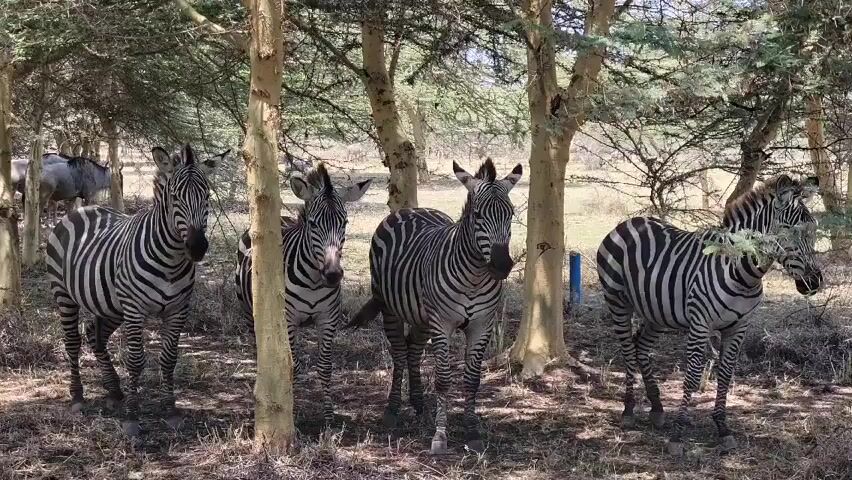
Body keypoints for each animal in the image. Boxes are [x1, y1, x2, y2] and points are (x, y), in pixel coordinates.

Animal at [45, 144, 221, 437]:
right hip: (65, 294)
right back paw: (78, 396)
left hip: (110, 304)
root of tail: (82, 209)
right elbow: (136, 360)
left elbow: (169, 358)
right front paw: (132, 417)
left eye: (206, 195)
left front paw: (170, 411)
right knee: (72, 341)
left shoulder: (178, 309)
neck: (171, 260)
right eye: (175, 197)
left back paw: (114, 390)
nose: (197, 247)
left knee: (95, 335)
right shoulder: (135, 309)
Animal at [234, 163, 371, 423]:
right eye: (313, 223)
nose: (333, 275)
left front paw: (328, 417)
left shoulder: (328, 319)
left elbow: (325, 366)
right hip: (249, 312)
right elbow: (292, 366)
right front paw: (291, 411)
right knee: (258, 348)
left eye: (345, 223)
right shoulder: (288, 320)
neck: (313, 282)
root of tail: (281, 216)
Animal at [349, 158, 522, 454]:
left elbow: (472, 381)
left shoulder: (481, 325)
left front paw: (472, 430)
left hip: (421, 316)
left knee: (413, 350)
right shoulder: (443, 324)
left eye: (510, 214)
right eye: (478, 215)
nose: (501, 266)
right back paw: (392, 410)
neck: (474, 278)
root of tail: (411, 209)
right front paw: (440, 437)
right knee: (399, 352)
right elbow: (442, 380)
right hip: (391, 309)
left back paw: (419, 405)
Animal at [596, 174, 823, 455]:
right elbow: (693, 376)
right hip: (617, 301)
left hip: (656, 312)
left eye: (813, 232)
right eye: (790, 230)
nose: (814, 282)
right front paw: (678, 435)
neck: (741, 273)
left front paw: (722, 427)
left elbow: (725, 375)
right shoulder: (700, 323)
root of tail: (629, 222)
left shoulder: (739, 327)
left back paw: (657, 408)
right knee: (628, 350)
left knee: (641, 348)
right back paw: (628, 410)